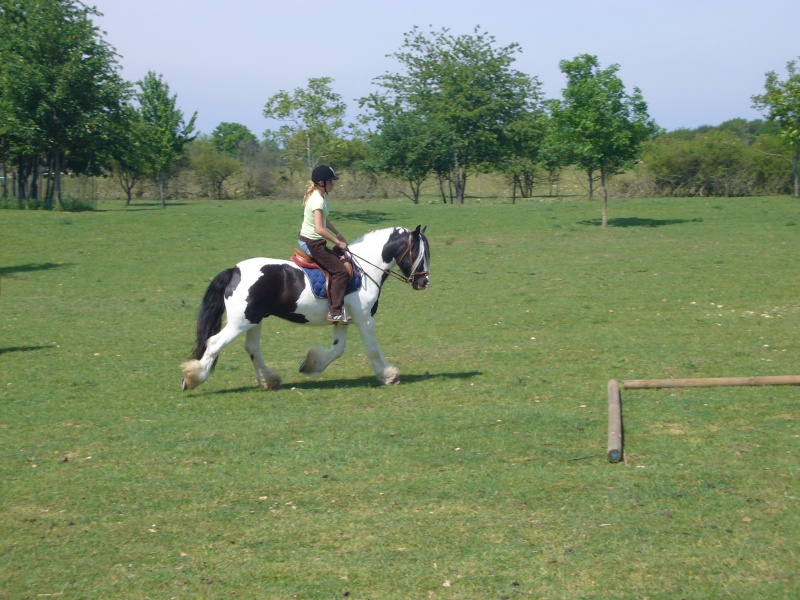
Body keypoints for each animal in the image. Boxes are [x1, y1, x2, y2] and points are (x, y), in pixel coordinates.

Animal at [181, 225, 432, 390]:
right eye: (418, 253)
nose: (424, 282)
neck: (364, 270)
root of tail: (234, 270)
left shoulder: (342, 320)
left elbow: (337, 350)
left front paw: (311, 364)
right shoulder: (364, 319)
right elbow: (371, 349)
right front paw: (388, 375)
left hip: (253, 320)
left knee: (252, 348)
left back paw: (269, 380)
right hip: (241, 321)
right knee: (214, 343)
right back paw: (193, 378)